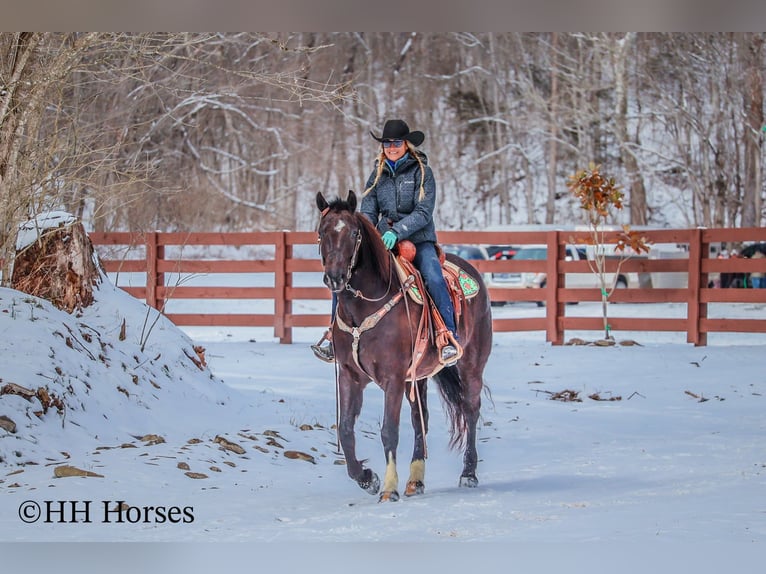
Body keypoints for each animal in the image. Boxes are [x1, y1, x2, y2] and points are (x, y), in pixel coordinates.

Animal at [316, 191, 492, 502]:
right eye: (322, 232)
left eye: (353, 233)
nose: (335, 277)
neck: (365, 306)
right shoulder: (349, 375)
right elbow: (346, 430)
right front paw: (367, 478)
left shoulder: (393, 378)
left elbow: (389, 430)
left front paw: (388, 488)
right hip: (418, 376)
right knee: (420, 419)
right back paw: (416, 480)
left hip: (472, 364)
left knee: (471, 409)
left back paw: (468, 474)